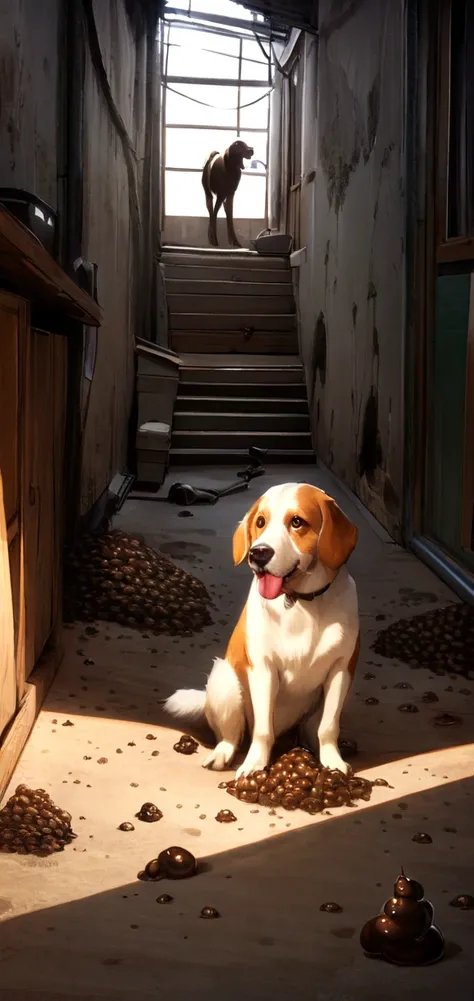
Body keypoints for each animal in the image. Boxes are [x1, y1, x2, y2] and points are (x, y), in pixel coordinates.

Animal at [165, 484, 358, 780]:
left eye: (297, 522)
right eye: (260, 522)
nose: (258, 553)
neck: (300, 603)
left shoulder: (340, 669)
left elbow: (328, 727)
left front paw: (332, 761)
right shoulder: (264, 669)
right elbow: (263, 729)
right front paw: (255, 765)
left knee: (312, 731)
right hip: (225, 681)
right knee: (231, 736)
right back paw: (222, 754)